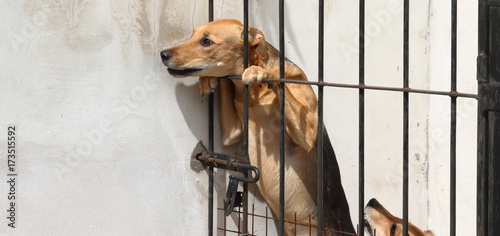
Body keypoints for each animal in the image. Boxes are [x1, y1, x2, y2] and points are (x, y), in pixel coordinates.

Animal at [162, 18, 354, 236]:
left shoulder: (309, 134)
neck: (256, 95)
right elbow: (225, 84)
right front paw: (208, 80)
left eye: (207, 41)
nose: (163, 54)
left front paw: (261, 72)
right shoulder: (232, 132)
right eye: (192, 35)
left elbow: (279, 80)